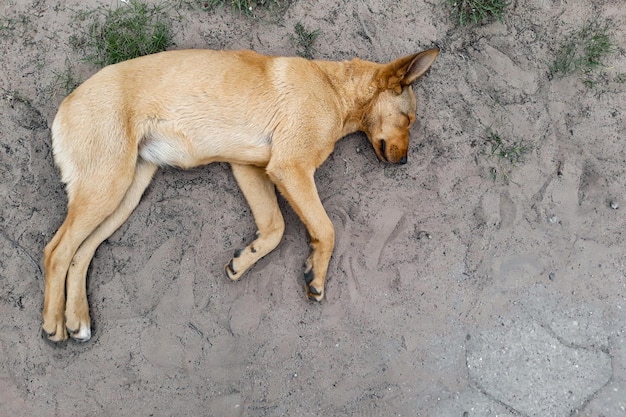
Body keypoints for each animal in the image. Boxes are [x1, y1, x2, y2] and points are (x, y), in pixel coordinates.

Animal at [44, 48, 436, 342]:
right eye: (409, 120)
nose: (405, 162)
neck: (333, 88)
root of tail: (68, 101)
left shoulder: (250, 168)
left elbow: (275, 228)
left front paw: (244, 260)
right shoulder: (291, 168)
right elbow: (326, 230)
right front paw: (317, 276)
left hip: (125, 193)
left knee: (81, 253)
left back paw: (77, 318)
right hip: (107, 186)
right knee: (57, 251)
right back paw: (53, 322)